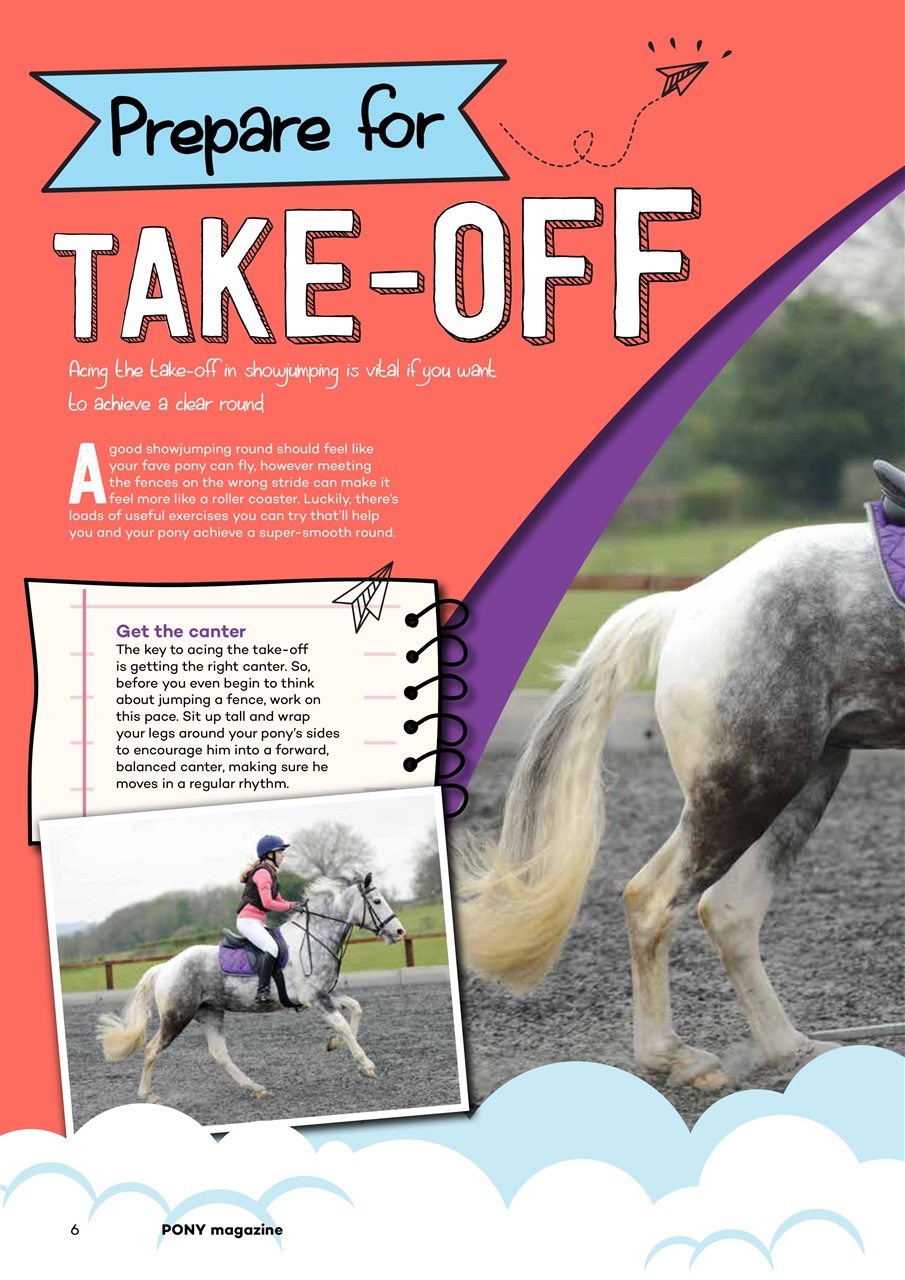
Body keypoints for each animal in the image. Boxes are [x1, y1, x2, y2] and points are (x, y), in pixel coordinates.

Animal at [98, 873, 406, 1103]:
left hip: (210, 1013)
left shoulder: (324, 994)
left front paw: (336, 1044)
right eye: (377, 901)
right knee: (152, 1050)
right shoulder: (315, 998)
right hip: (177, 1017)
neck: (314, 936)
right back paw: (148, 1096)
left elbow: (355, 1009)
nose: (399, 932)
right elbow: (342, 1023)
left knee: (219, 1054)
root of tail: (165, 967)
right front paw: (366, 1065)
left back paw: (255, 1088)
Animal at [458, 506, 905, 1090]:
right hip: (747, 789)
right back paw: (677, 1058)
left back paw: (792, 1048)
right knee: (652, 900)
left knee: (730, 912)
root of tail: (688, 603)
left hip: (798, 783)